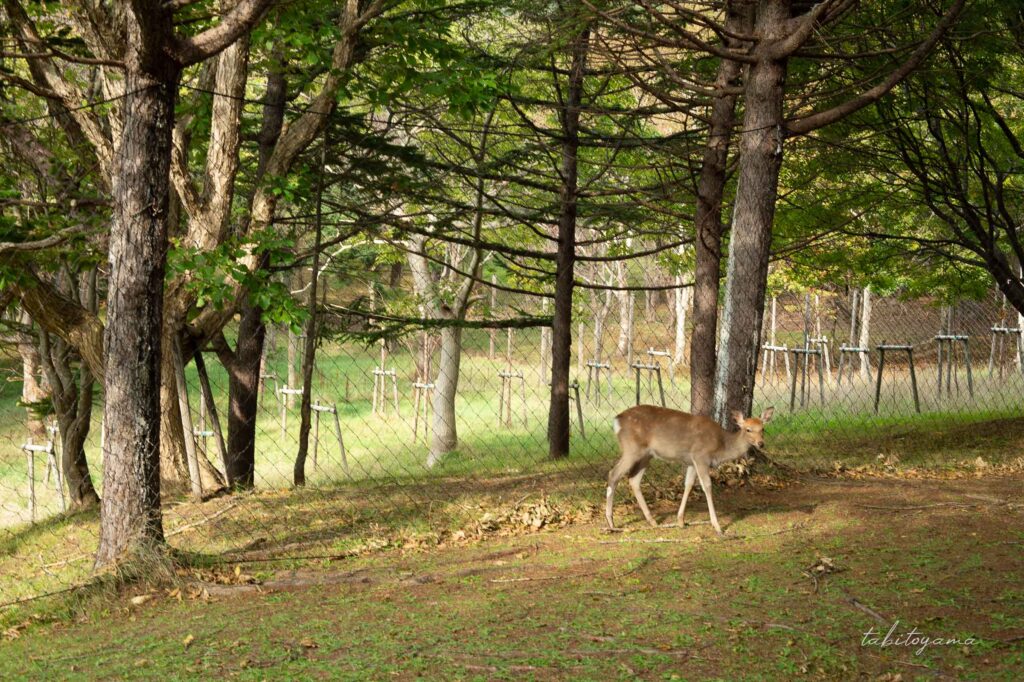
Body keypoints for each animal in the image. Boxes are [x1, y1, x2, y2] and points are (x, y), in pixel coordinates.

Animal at [605, 405, 774, 535]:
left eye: (763, 429)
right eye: (748, 429)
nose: (761, 444)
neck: (721, 446)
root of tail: (616, 421)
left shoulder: (692, 462)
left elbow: (688, 484)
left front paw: (681, 521)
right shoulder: (700, 456)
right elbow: (707, 486)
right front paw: (717, 527)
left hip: (646, 454)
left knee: (633, 479)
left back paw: (652, 521)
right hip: (632, 449)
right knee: (613, 474)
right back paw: (611, 523)